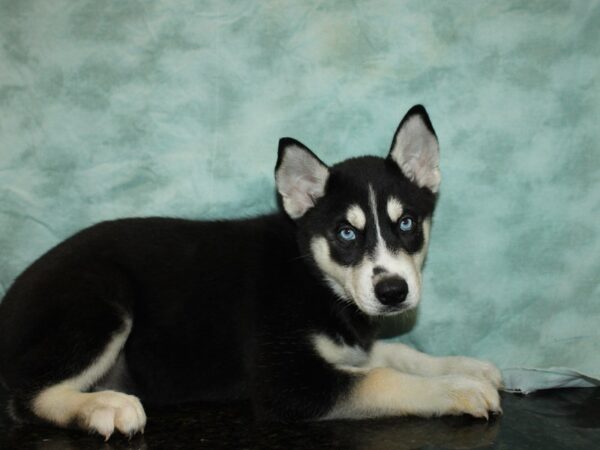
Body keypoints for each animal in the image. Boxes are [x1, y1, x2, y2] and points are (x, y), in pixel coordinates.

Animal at [0, 106, 502, 440]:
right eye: (345, 232)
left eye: (407, 223)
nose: (393, 291)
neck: (313, 278)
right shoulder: (285, 381)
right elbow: (384, 377)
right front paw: (459, 388)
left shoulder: (347, 344)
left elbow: (399, 354)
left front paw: (466, 366)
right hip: (104, 298)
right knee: (24, 396)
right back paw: (103, 406)